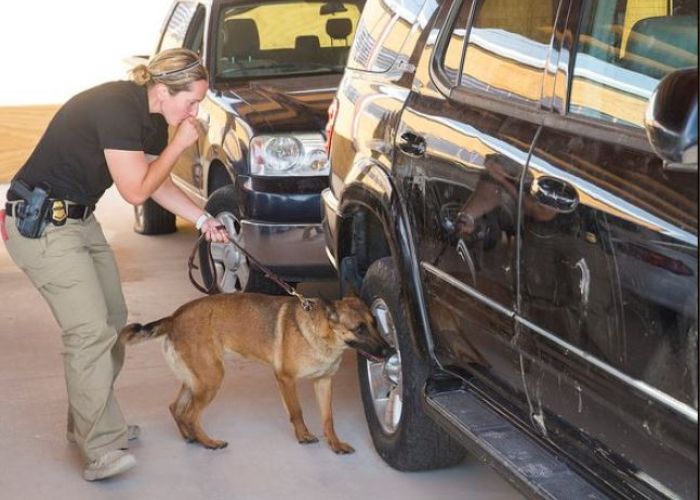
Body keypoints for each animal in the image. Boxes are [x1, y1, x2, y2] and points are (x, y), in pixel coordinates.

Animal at [122, 292, 392, 454]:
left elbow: (328, 418)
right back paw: (208, 442)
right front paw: (303, 436)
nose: (389, 350)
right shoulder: (285, 379)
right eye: (359, 328)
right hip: (211, 379)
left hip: (196, 381)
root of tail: (173, 317)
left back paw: (190, 438)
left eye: (375, 324)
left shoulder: (324, 382)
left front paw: (335, 444)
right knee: (190, 414)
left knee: (175, 407)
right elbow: (297, 411)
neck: (323, 335)